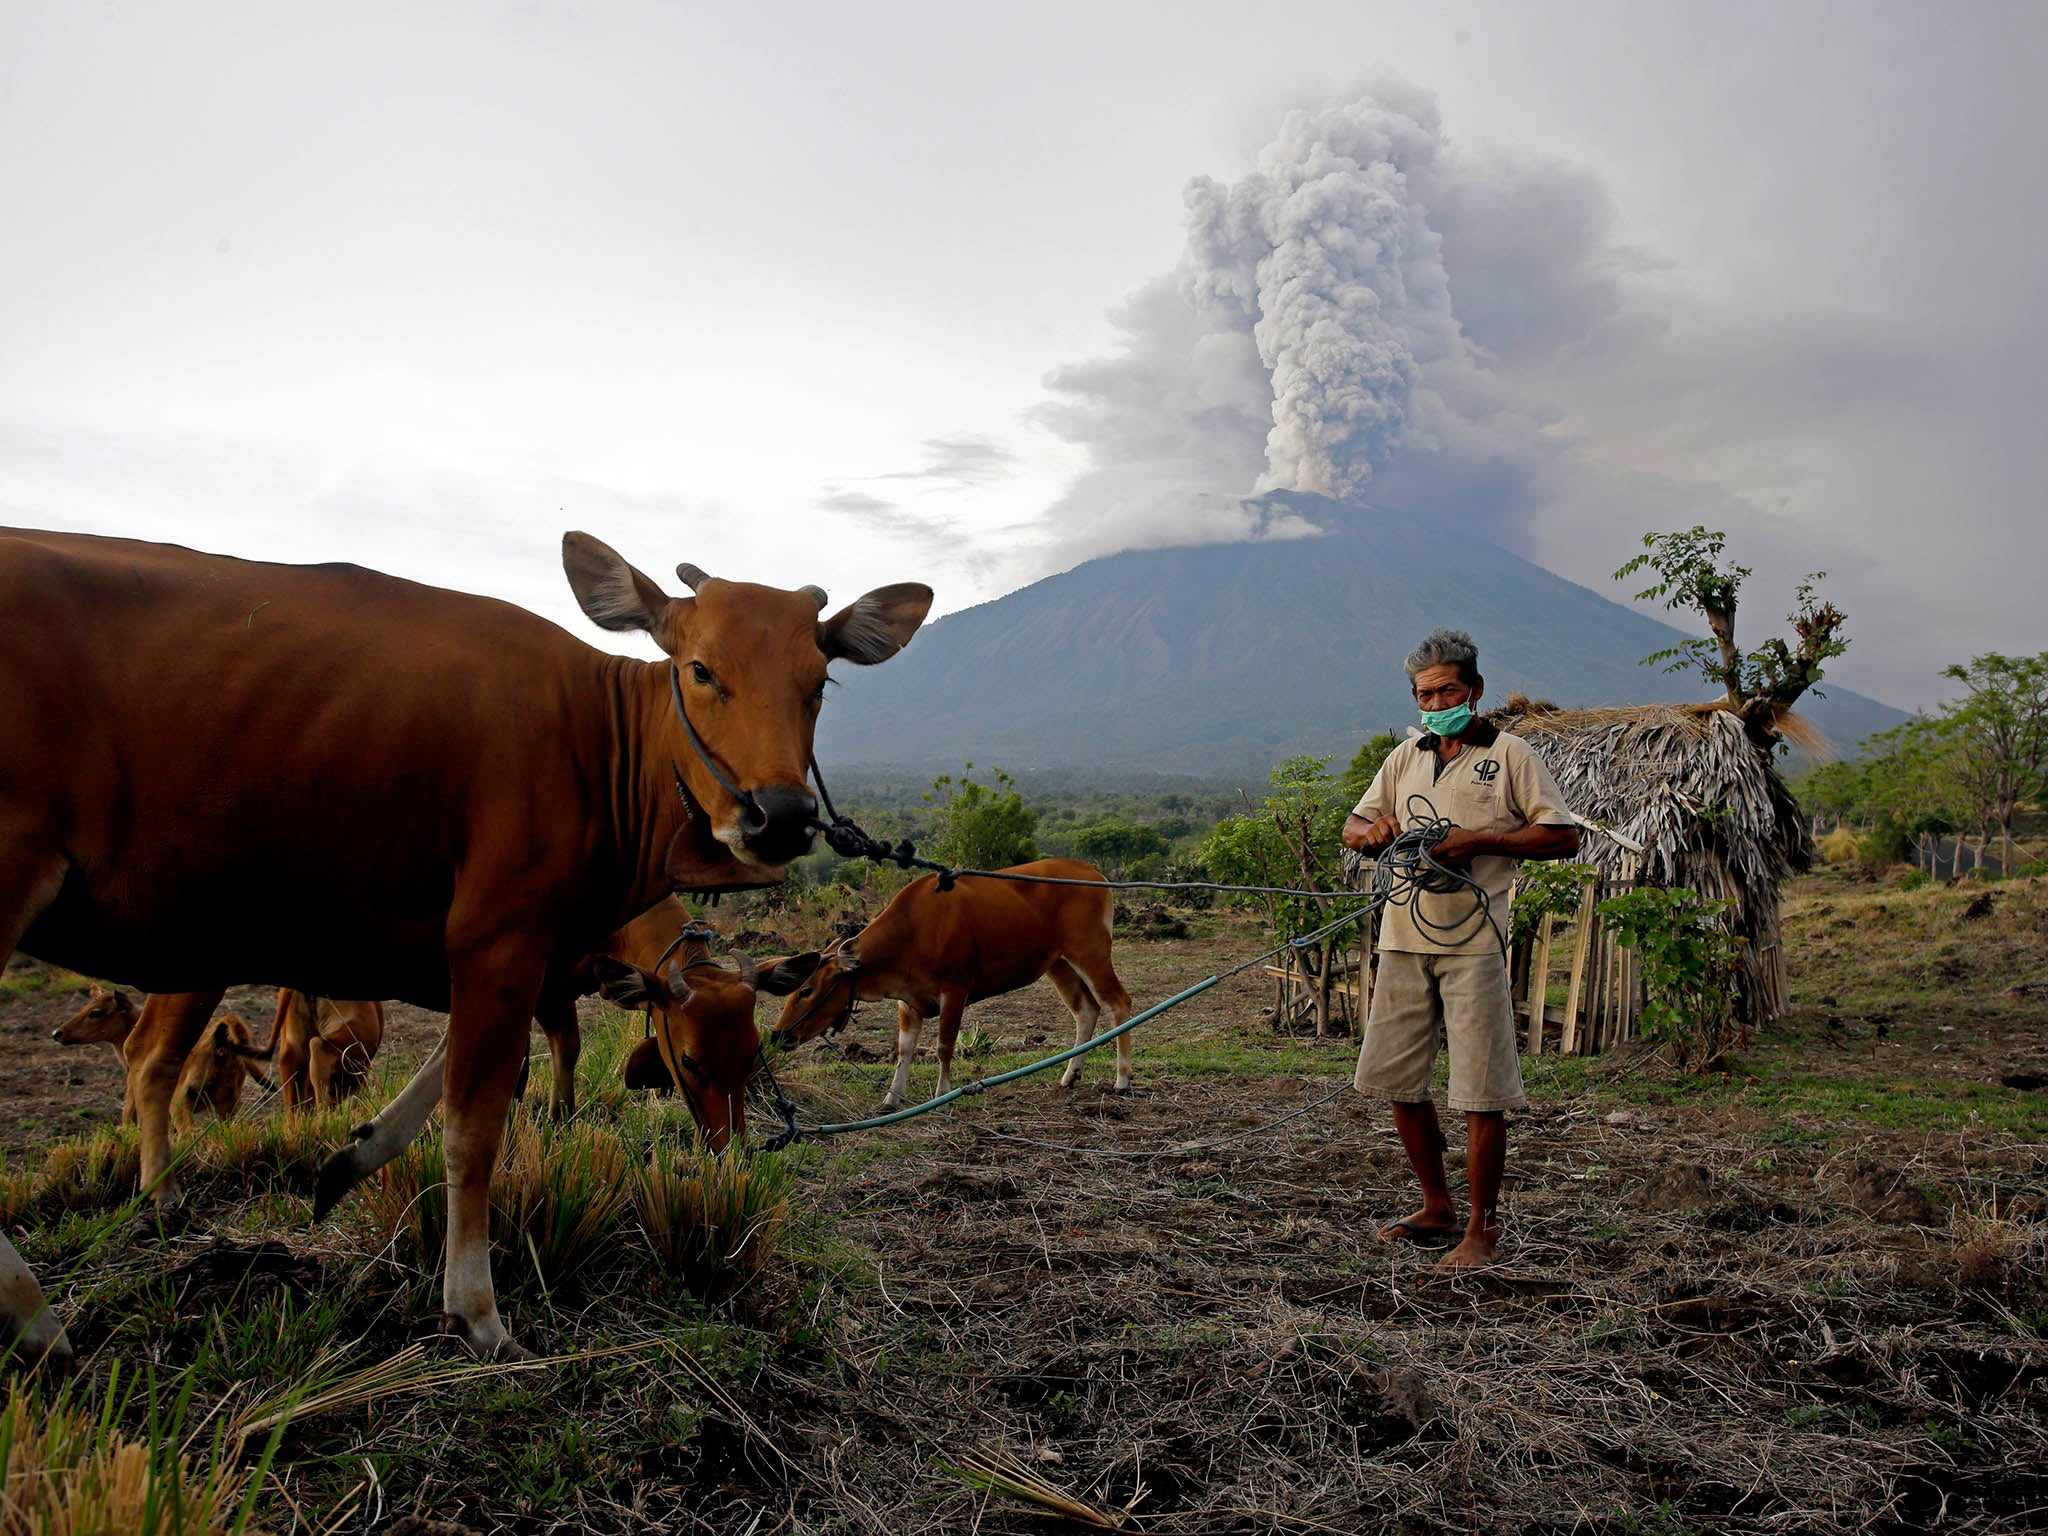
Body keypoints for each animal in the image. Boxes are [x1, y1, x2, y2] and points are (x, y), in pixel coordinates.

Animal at [770, 860, 1138, 1114]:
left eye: (805, 990)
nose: (778, 1035)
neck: (912, 931)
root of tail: (1091, 872)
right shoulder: (907, 1001)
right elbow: (904, 1051)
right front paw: (891, 1098)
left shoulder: (955, 991)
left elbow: (944, 1046)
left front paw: (942, 1094)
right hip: (1059, 964)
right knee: (1086, 1010)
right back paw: (1069, 1075)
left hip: (1090, 952)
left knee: (1119, 1003)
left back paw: (1122, 1080)